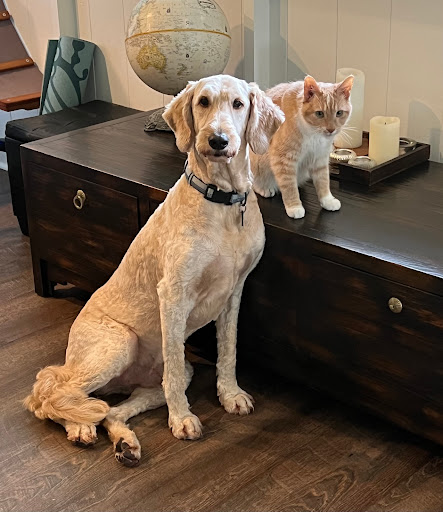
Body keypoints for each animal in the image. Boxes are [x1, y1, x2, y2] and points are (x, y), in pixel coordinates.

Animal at [24, 75, 284, 466]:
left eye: (238, 104)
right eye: (203, 102)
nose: (217, 140)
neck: (222, 201)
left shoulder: (233, 292)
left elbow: (228, 351)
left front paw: (230, 393)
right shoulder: (174, 294)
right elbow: (173, 370)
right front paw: (181, 419)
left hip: (149, 378)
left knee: (108, 411)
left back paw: (123, 442)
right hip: (118, 343)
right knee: (52, 395)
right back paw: (80, 428)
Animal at [251, 74, 354, 219]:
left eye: (339, 113)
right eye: (319, 113)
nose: (331, 129)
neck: (313, 134)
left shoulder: (320, 158)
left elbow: (323, 181)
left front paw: (327, 200)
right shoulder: (283, 160)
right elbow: (289, 186)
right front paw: (295, 207)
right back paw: (264, 188)